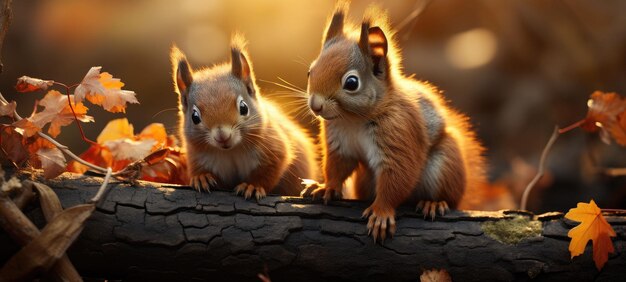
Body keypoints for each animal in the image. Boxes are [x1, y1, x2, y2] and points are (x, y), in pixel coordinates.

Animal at [169, 34, 316, 198]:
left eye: (243, 107)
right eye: (195, 117)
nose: (223, 137)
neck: (231, 151)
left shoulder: (274, 148)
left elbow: (268, 172)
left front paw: (252, 186)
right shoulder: (197, 156)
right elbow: (200, 170)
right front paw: (202, 177)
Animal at [304, 2, 486, 241]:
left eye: (351, 83)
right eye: (310, 71)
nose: (316, 105)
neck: (353, 120)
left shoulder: (400, 132)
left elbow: (397, 176)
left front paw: (381, 212)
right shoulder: (339, 141)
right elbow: (337, 166)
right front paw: (327, 187)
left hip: (446, 164)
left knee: (450, 197)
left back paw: (434, 203)